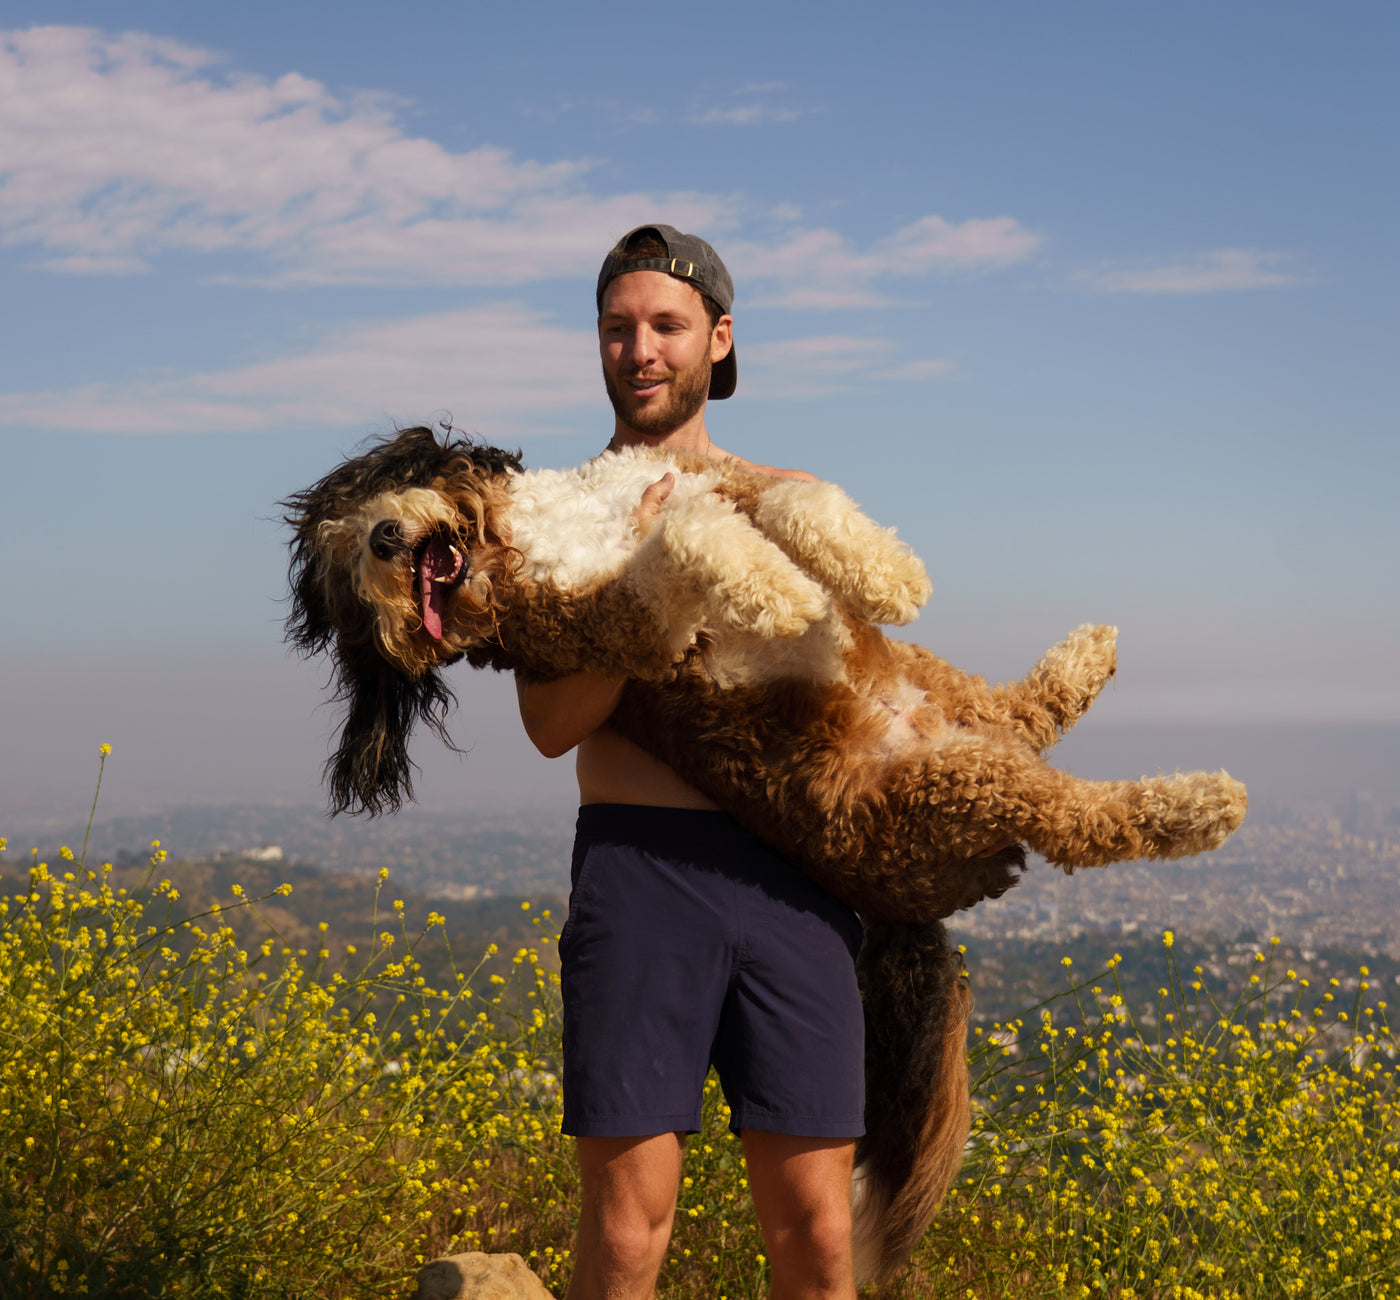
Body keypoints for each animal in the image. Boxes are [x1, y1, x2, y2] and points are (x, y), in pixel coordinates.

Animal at [278, 428, 1243, 1287]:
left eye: (365, 506)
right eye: (346, 581)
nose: (383, 541)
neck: (536, 534)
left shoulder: (717, 480)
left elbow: (785, 501)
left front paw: (881, 570)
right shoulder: (610, 629)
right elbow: (684, 543)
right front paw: (775, 593)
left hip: (940, 690)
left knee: (1025, 712)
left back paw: (1083, 658)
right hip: (952, 788)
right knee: (1078, 817)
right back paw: (1195, 803)